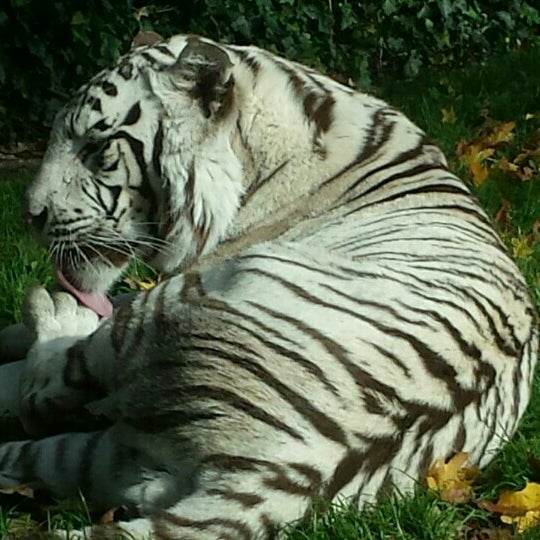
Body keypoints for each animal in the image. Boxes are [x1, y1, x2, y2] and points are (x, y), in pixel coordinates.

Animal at [0, 34, 536, 540]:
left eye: (96, 148)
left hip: (172, 310)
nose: (29, 215)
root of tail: (281, 479)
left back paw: (55, 311)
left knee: (41, 388)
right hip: (111, 451)